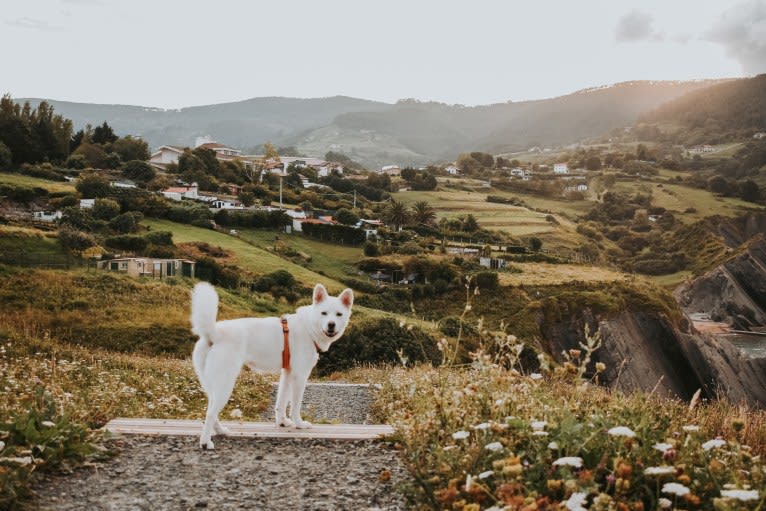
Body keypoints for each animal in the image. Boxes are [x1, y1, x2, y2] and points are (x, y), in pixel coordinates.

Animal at [192, 282, 354, 450]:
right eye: (324, 313)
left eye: (339, 314)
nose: (331, 325)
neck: (308, 327)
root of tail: (214, 334)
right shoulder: (300, 376)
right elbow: (295, 405)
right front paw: (299, 424)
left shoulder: (288, 374)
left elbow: (281, 402)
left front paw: (282, 422)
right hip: (225, 384)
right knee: (210, 413)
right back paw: (205, 442)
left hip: (213, 385)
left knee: (210, 410)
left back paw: (221, 431)